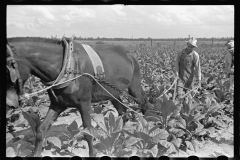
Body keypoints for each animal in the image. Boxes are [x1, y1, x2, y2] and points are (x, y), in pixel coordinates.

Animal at [6, 37, 153, 157]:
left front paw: (93, 153)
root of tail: (129, 54)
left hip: (134, 88)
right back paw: (121, 140)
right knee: (123, 113)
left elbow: (88, 131)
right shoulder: (57, 105)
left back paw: (147, 129)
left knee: (144, 104)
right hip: (113, 94)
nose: (10, 104)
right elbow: (41, 129)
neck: (67, 66)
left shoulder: (84, 104)